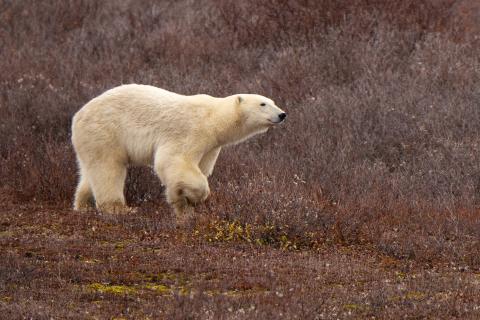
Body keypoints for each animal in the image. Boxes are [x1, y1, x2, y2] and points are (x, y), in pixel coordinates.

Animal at [71, 85, 284, 224]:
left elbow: (198, 169)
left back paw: (83, 205)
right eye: (263, 104)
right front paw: (194, 198)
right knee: (108, 170)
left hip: (90, 141)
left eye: (273, 101)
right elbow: (175, 161)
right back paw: (119, 209)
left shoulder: (212, 146)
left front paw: (184, 208)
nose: (282, 114)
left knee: (90, 173)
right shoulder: (192, 130)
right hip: (105, 132)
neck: (213, 118)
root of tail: (77, 116)